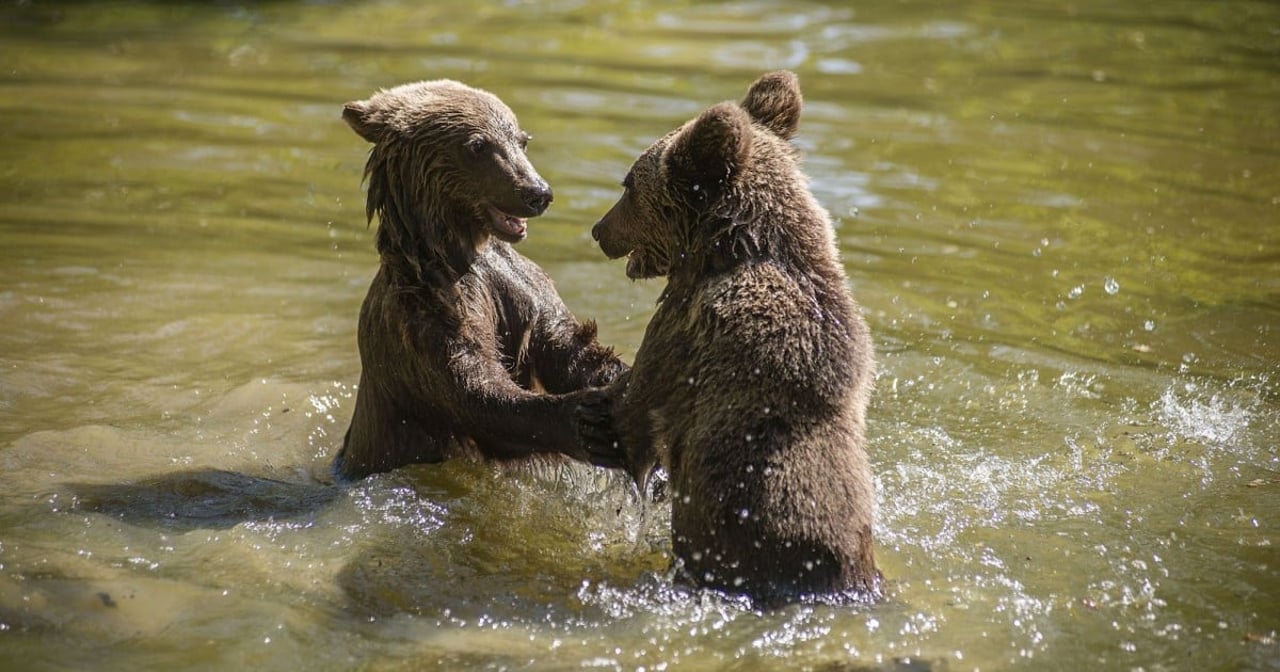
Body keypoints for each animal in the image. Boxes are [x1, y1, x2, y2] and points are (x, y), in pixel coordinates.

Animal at [332, 78, 627, 478]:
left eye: (521, 140)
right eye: (477, 145)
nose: (537, 193)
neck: (458, 249)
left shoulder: (520, 285)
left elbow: (566, 344)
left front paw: (616, 376)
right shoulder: (421, 317)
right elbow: (472, 387)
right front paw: (585, 418)